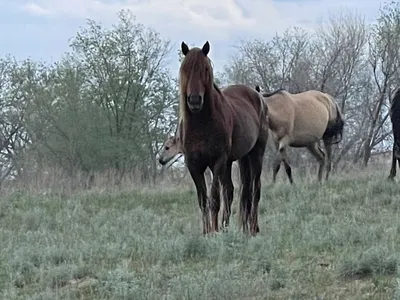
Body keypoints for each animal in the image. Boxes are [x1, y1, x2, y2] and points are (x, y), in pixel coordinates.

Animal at [179, 41, 268, 236]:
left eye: (205, 69)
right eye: (185, 69)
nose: (195, 100)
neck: (202, 124)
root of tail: (258, 96)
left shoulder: (217, 162)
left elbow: (214, 198)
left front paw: (213, 231)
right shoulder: (194, 165)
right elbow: (203, 200)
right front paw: (207, 232)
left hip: (256, 154)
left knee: (255, 190)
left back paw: (253, 228)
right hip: (238, 159)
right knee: (235, 192)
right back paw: (232, 228)